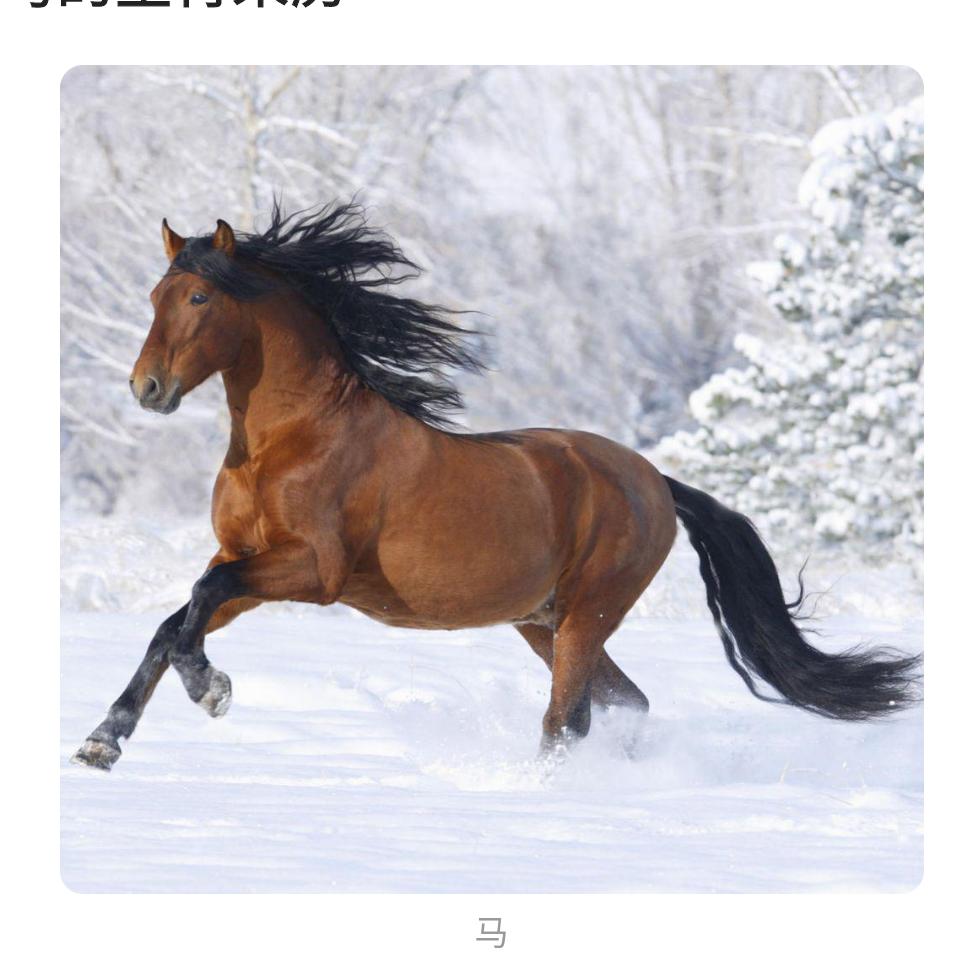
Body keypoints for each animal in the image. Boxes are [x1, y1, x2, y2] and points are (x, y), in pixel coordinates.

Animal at [72, 202, 921, 772]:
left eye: (199, 298)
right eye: (153, 297)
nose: (146, 388)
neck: (292, 438)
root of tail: (652, 479)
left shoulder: (312, 571)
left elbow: (198, 600)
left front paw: (211, 689)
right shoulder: (246, 559)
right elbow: (176, 619)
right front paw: (103, 739)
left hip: (586, 614)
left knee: (566, 720)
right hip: (542, 621)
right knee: (622, 702)